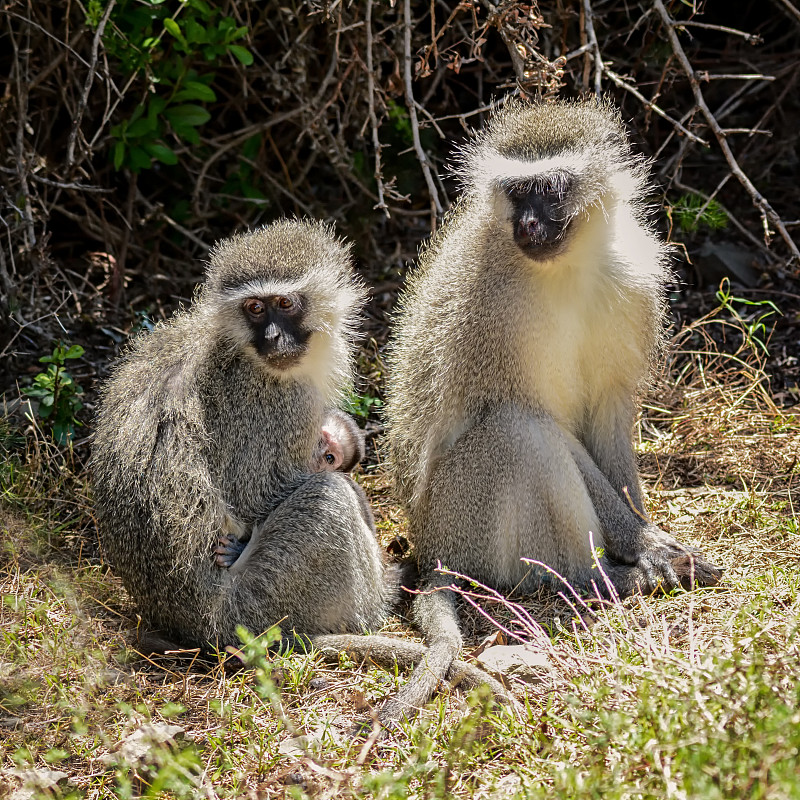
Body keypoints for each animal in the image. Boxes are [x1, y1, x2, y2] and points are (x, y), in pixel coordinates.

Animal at [378, 98, 720, 724]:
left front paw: (645, 531)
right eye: (517, 194)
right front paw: (645, 547)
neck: (567, 268)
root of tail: (432, 551)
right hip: (465, 520)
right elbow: (550, 427)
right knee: (521, 432)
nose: (529, 225)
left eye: (550, 190)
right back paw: (601, 579)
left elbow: (608, 414)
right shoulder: (492, 311)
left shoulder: (629, 285)